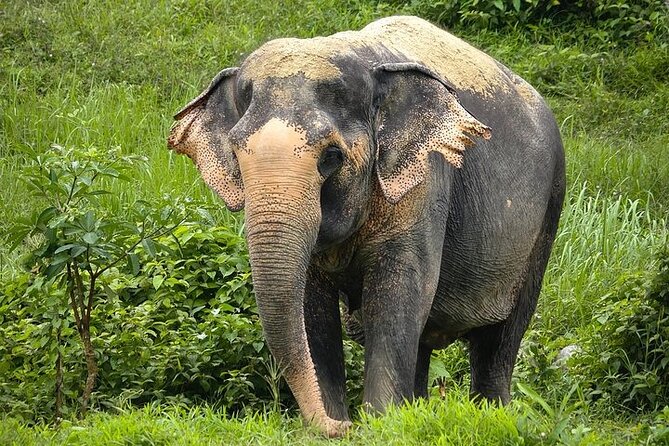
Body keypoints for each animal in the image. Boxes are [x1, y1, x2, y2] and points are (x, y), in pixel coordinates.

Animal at [168, 16, 565, 437]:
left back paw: (492, 415)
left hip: (548, 213)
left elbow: (397, 296)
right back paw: (417, 411)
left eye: (331, 156)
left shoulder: (426, 181)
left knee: (501, 339)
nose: (342, 426)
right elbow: (313, 310)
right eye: (236, 153)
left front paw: (377, 424)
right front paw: (344, 422)